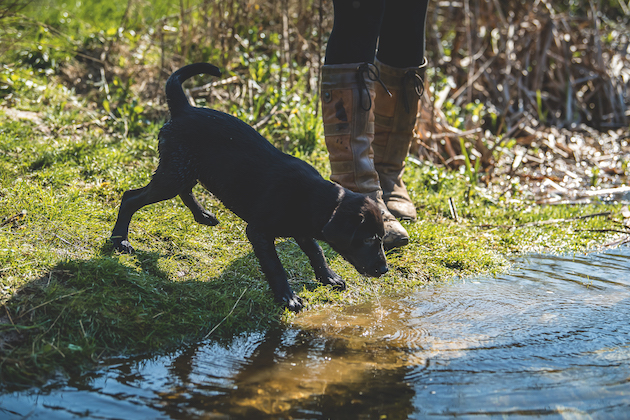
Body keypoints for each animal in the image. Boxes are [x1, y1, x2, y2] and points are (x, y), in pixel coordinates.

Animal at [112, 62, 390, 312]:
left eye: (382, 238)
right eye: (368, 239)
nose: (385, 269)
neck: (314, 199)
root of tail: (183, 109)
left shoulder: (302, 231)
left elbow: (317, 252)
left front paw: (328, 277)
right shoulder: (258, 232)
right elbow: (276, 266)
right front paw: (288, 297)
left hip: (184, 168)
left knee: (184, 189)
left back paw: (202, 215)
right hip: (173, 173)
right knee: (130, 198)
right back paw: (119, 240)